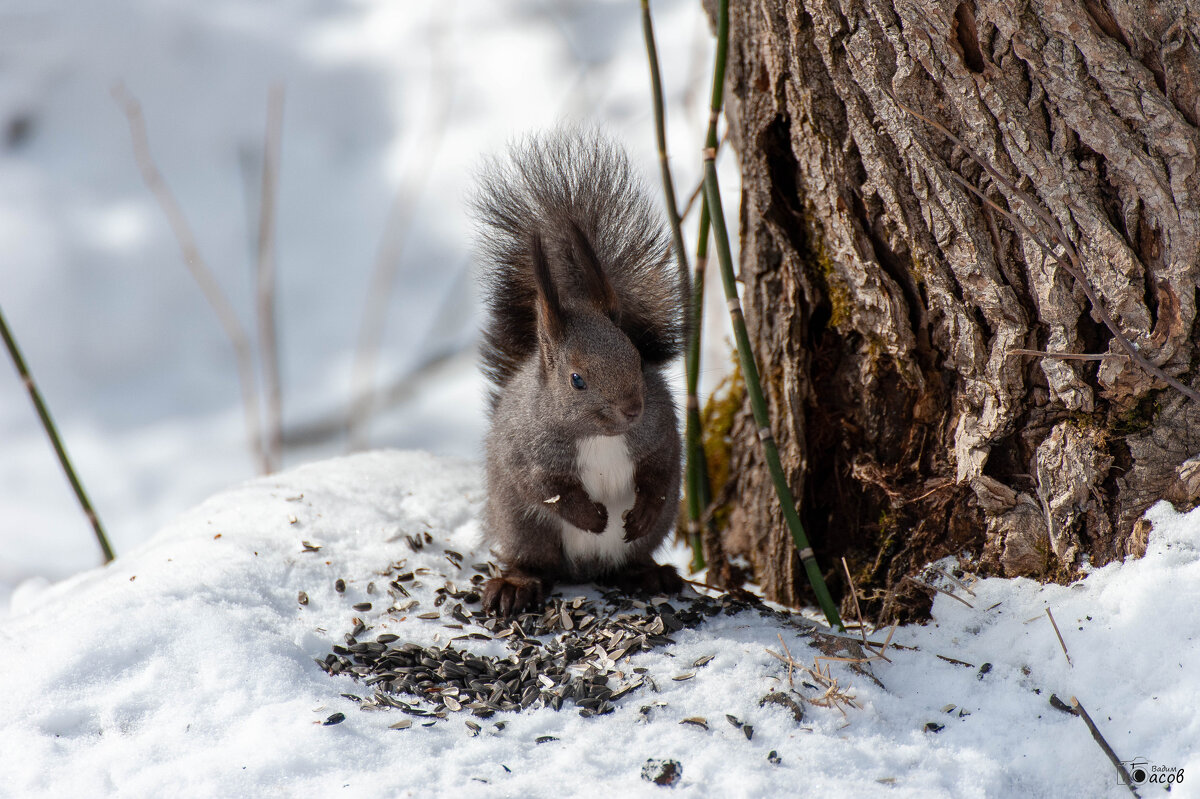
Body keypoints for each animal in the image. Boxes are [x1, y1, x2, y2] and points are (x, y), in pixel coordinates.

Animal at [472, 131, 691, 614]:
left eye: (637, 358)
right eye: (577, 380)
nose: (632, 409)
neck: (599, 436)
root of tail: (585, 572)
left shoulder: (660, 428)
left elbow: (661, 469)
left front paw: (642, 509)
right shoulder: (525, 450)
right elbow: (544, 487)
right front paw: (592, 516)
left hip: (648, 537)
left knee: (634, 556)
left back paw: (650, 574)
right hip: (523, 528)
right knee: (533, 560)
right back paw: (517, 584)